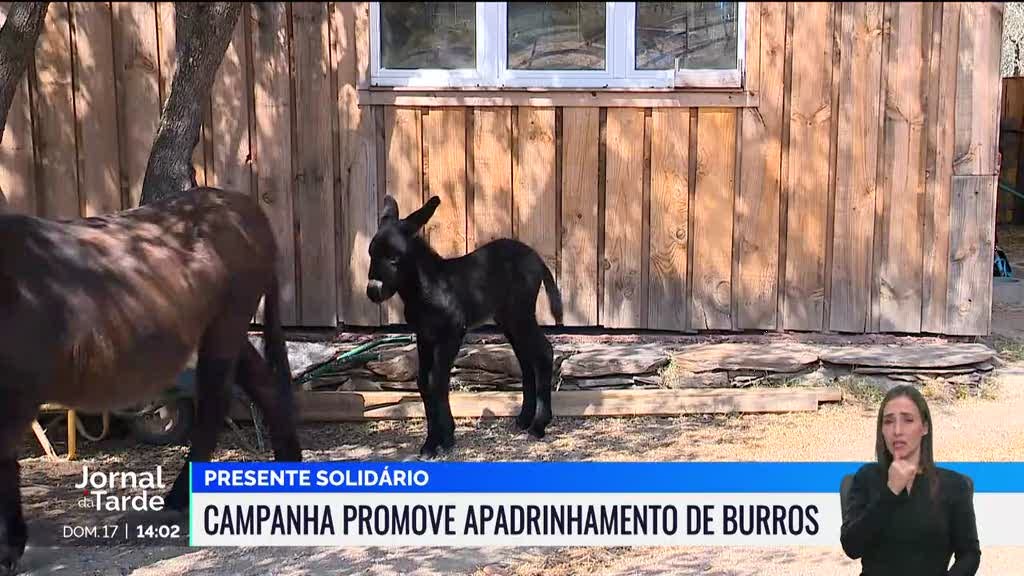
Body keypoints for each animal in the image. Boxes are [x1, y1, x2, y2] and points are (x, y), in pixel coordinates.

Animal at [0, 187, 302, 575]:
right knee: (263, 385)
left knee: (214, 404)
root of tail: (237, 200)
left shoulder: (17, 390)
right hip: (225, 328)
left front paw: (9, 549)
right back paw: (287, 467)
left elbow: (4, 464)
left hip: (228, 318)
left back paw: (179, 500)